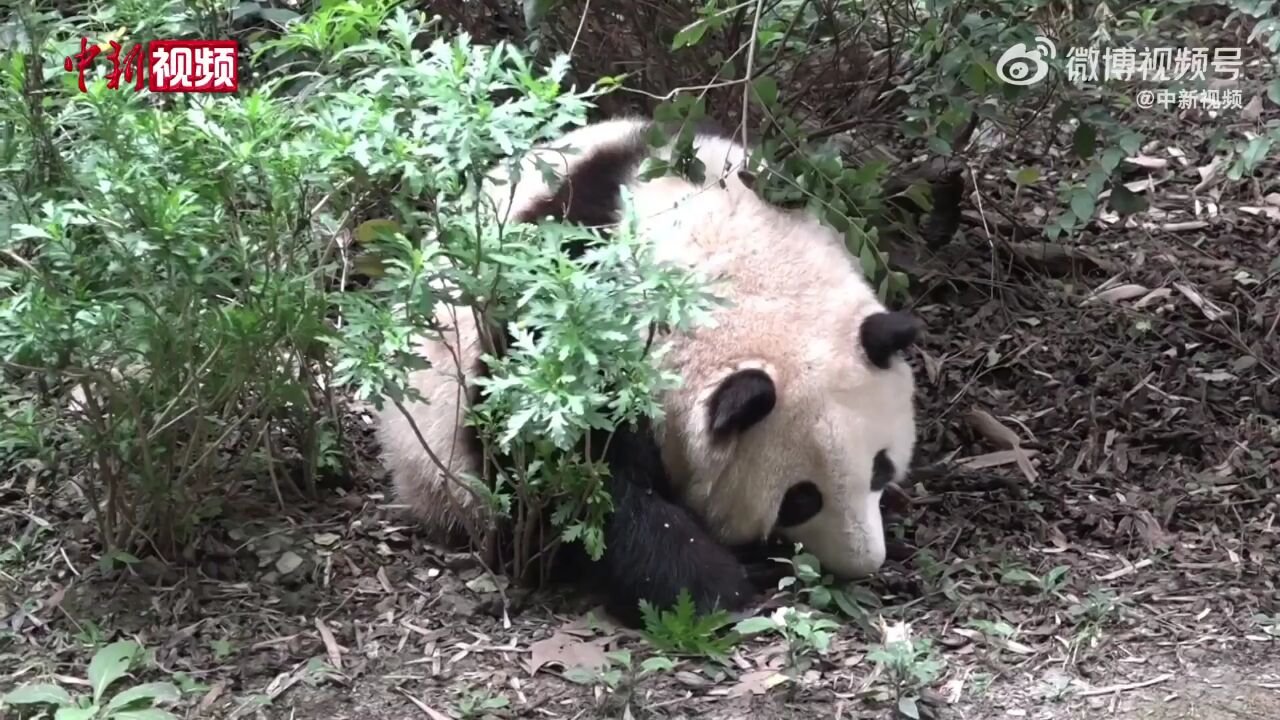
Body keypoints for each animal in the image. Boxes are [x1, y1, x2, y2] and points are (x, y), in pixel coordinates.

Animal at [373, 116, 926, 622]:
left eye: (881, 468)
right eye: (801, 499)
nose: (862, 561)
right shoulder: (567, 330)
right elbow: (576, 482)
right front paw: (718, 581)